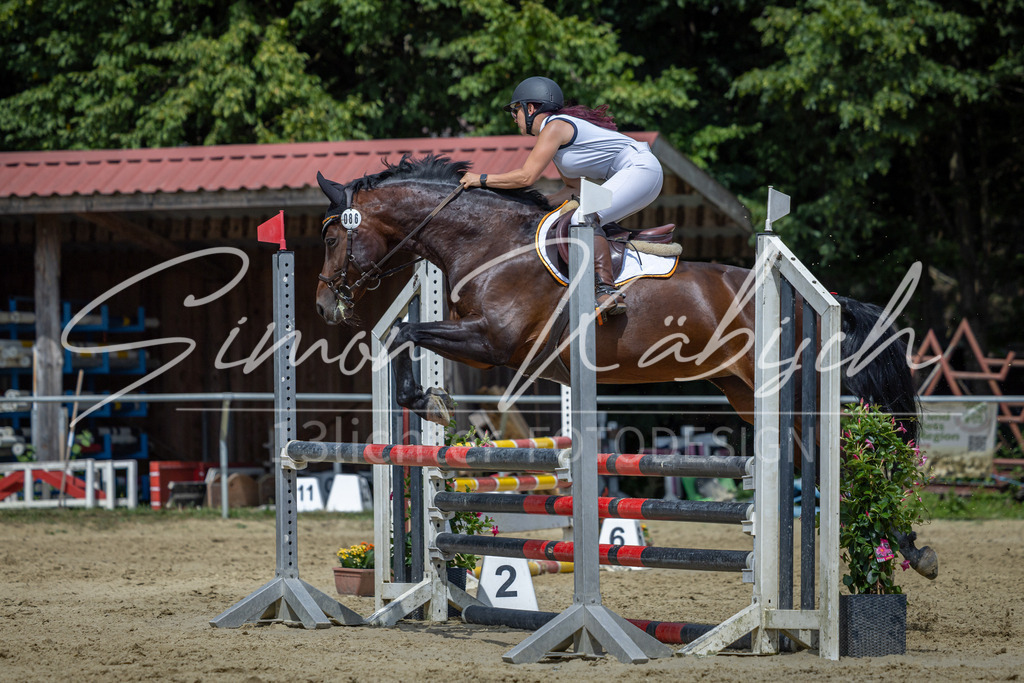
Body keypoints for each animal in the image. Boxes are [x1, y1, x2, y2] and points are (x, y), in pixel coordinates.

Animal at [313, 154, 936, 579]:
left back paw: (904, 549)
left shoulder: (494, 342)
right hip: (743, 392)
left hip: (790, 392)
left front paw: (430, 401)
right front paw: (432, 403)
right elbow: (403, 335)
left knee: (842, 456)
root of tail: (816, 301)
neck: (485, 242)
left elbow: (403, 332)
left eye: (332, 236)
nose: (323, 305)